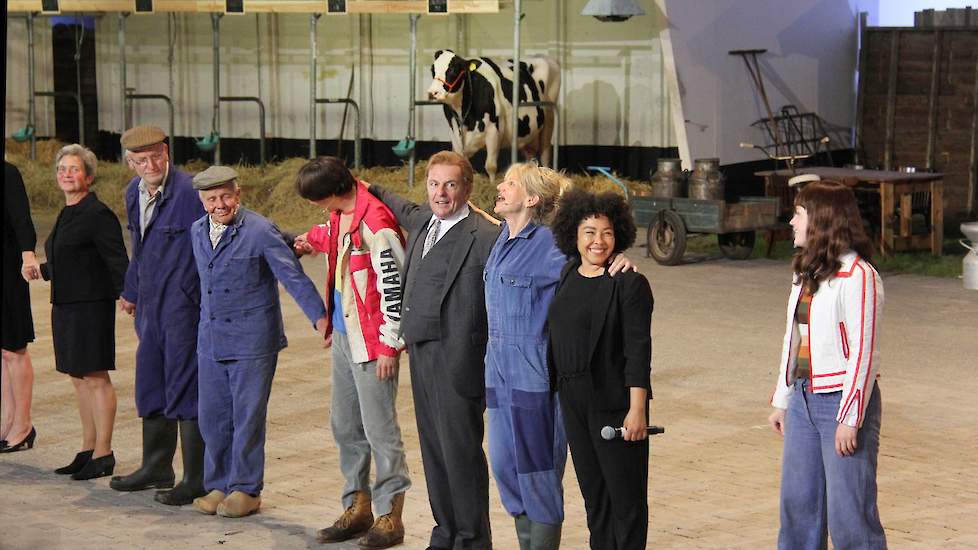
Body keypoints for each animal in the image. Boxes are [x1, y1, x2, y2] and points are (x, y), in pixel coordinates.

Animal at [426, 49, 556, 183]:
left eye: (453, 69)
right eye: (433, 69)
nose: (432, 93)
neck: (466, 118)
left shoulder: (494, 132)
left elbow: (491, 166)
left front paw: (492, 184)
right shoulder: (454, 133)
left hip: (549, 119)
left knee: (545, 153)